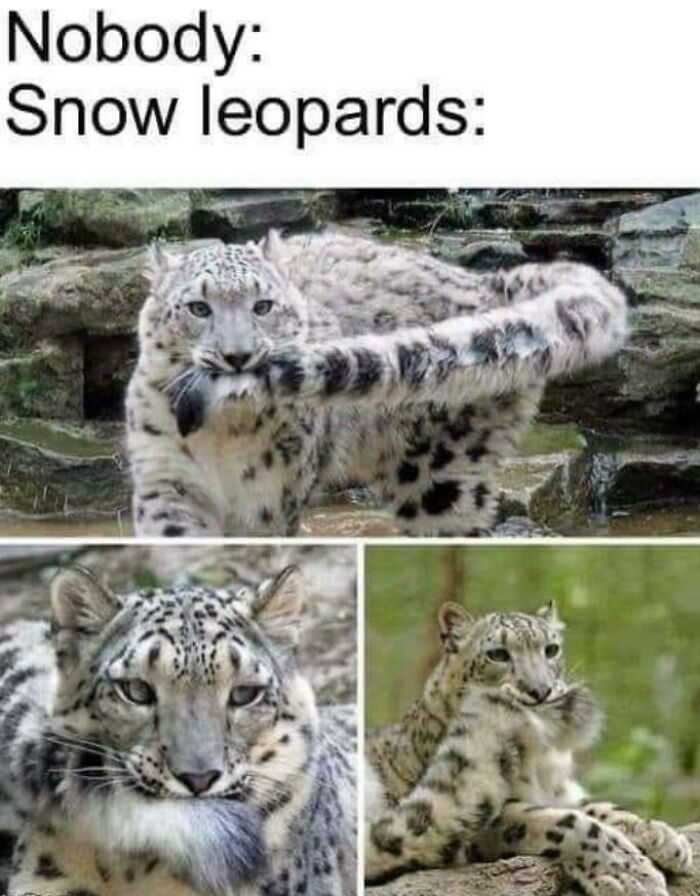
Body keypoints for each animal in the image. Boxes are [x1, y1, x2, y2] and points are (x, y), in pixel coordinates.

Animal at [126, 229, 628, 537]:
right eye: (198, 307)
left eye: (263, 305)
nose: (237, 356)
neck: (221, 434)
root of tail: (487, 282)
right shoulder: (166, 477)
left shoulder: (269, 499)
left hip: (439, 476)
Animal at [365, 600, 693, 896]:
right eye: (497, 654)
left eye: (551, 649)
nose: (540, 691)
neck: (543, 756)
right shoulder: (487, 821)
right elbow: (561, 821)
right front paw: (629, 874)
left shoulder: (562, 791)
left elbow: (599, 807)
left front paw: (662, 836)